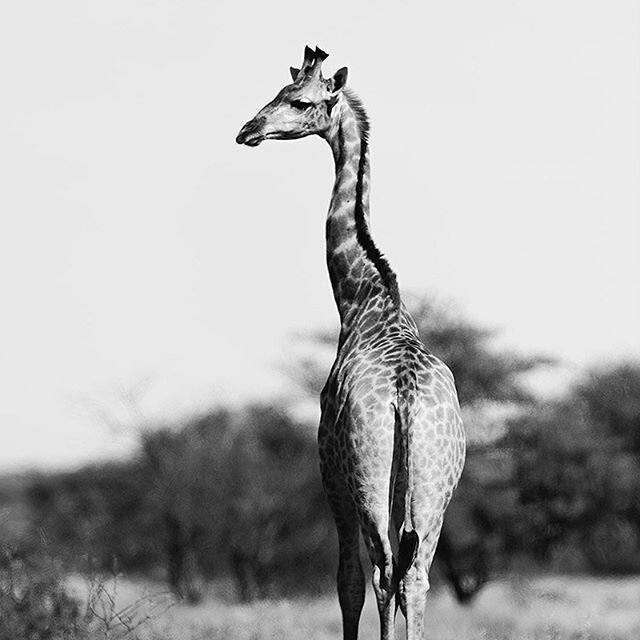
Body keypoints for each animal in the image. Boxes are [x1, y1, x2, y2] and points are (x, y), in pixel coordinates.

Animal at [236, 46, 464, 640]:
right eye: (278, 92)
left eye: (300, 101)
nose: (247, 130)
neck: (363, 302)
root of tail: (405, 398)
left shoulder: (329, 470)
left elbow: (347, 582)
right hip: (435, 488)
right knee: (415, 575)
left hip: (366, 480)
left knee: (382, 571)